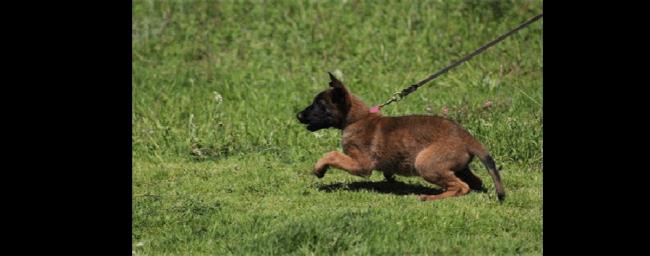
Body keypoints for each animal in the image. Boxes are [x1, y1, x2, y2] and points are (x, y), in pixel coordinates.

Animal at [296, 73, 504, 201]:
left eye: (319, 104)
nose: (298, 115)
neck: (357, 119)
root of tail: (466, 137)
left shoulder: (362, 164)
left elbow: (332, 154)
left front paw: (319, 169)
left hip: (425, 163)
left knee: (461, 187)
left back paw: (432, 197)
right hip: (458, 167)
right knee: (475, 182)